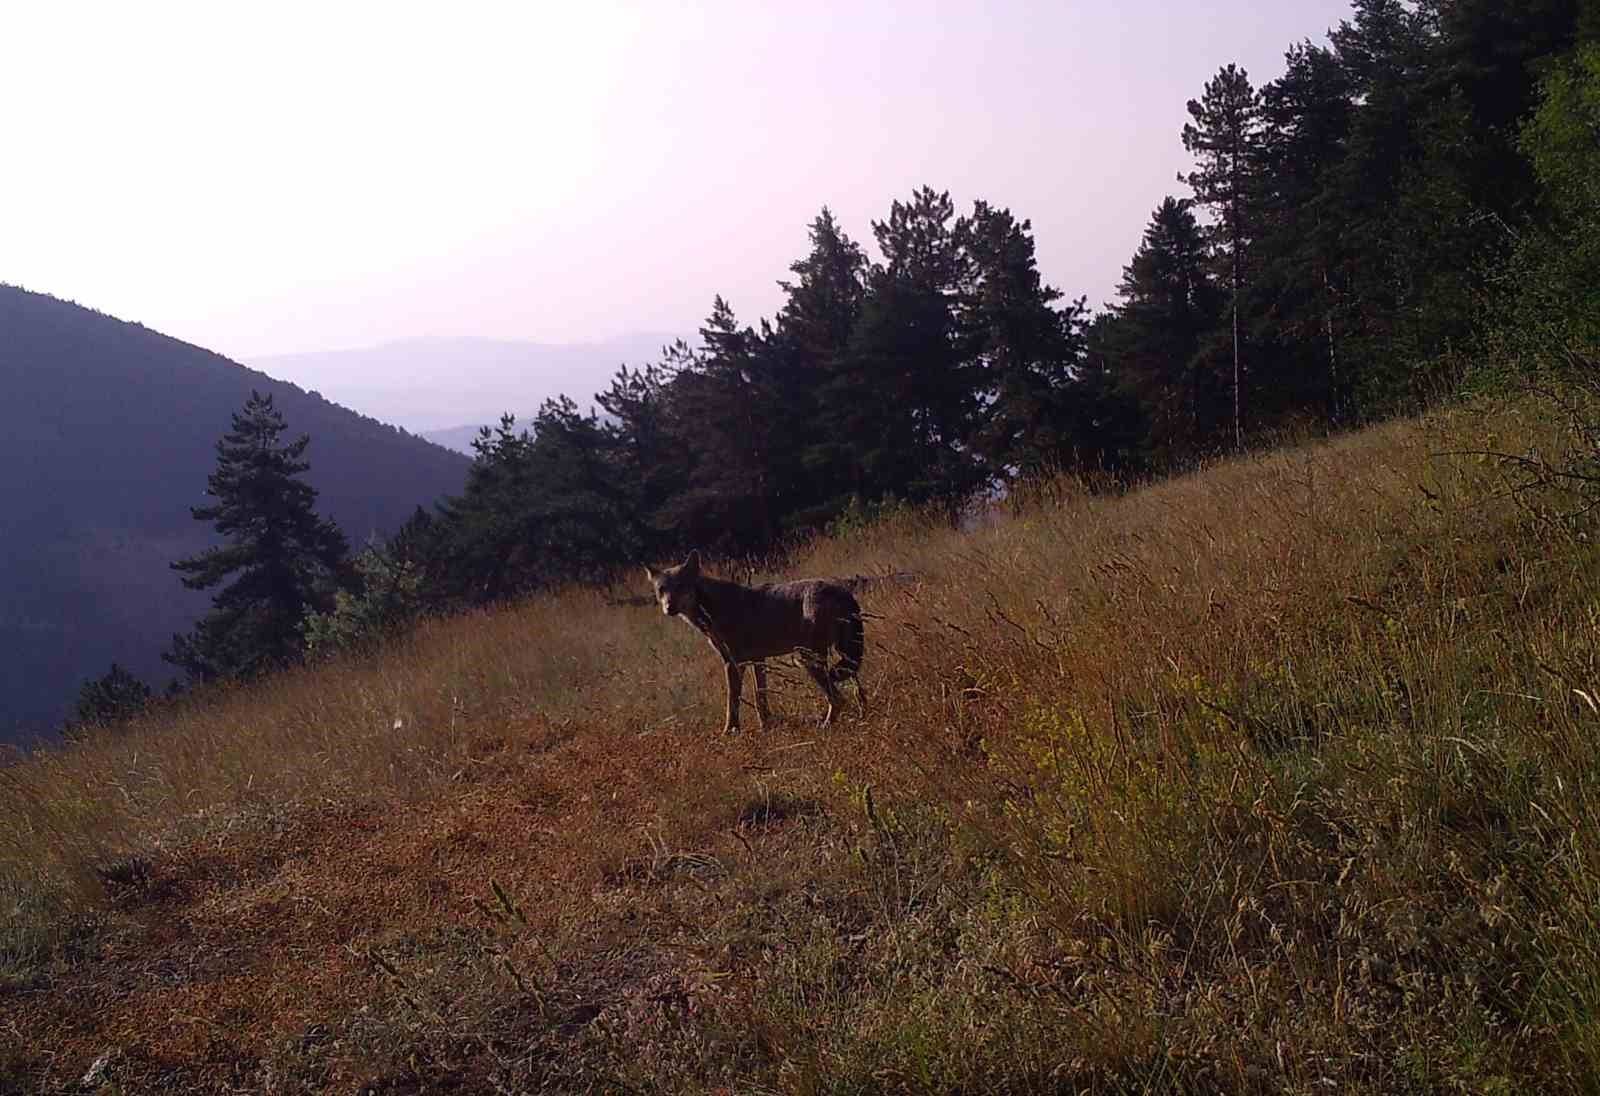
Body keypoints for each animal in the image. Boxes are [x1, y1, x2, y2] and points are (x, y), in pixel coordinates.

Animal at [643, 547, 870, 736]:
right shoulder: (758, 660)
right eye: (662, 589)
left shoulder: (734, 663)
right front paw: (766, 726)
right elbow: (760, 697)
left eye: (681, 587)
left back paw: (825, 726)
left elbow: (732, 701)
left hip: (808, 660)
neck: (712, 609)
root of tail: (842, 591)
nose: (669, 608)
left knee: (838, 699)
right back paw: (861, 718)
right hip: (844, 658)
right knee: (857, 691)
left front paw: (729, 732)